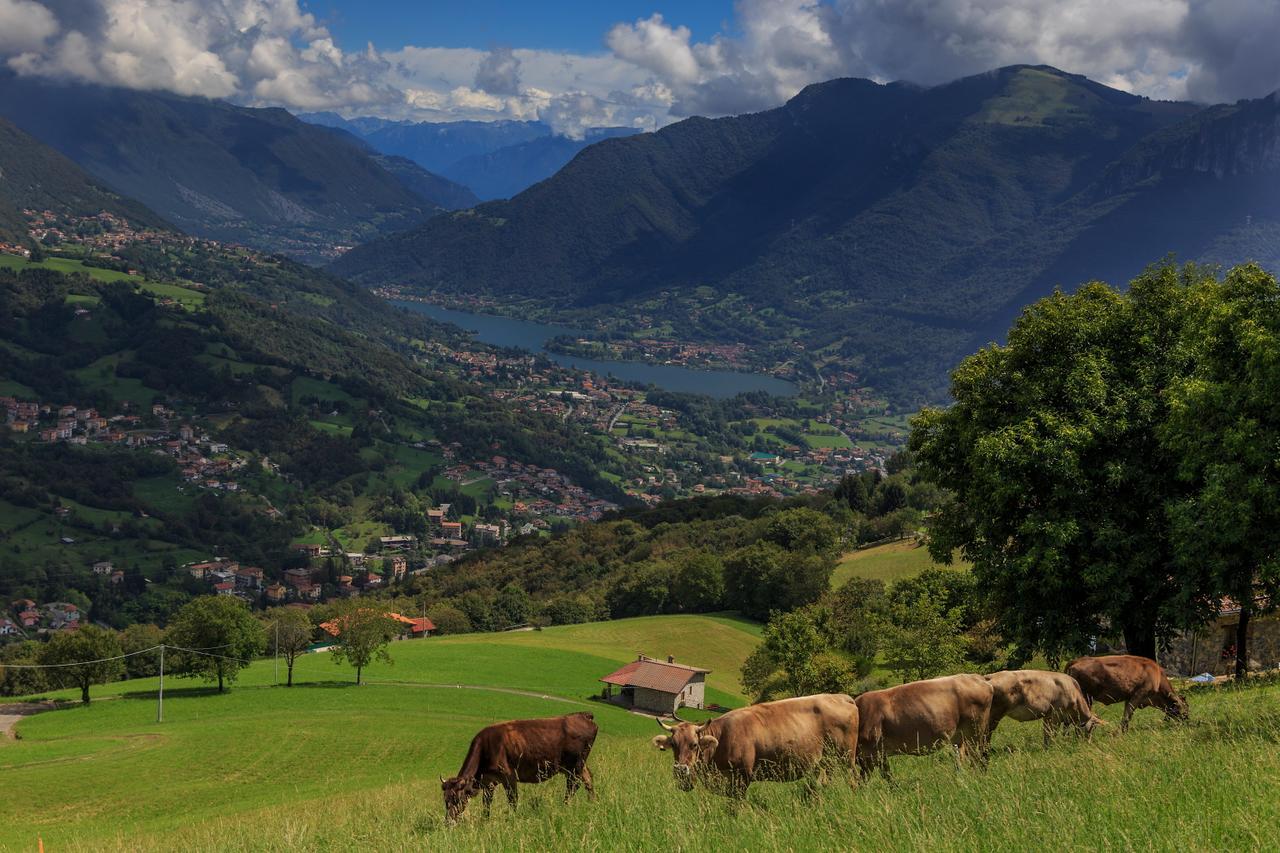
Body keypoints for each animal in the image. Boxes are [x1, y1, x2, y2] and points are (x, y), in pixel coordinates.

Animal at [440, 712, 599, 824]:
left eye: (457, 799)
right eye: (445, 800)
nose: (449, 822)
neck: (486, 749)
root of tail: (583, 715)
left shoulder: (509, 777)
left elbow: (513, 800)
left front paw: (512, 819)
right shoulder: (489, 782)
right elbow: (486, 803)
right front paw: (484, 820)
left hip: (574, 766)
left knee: (573, 785)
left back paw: (565, 805)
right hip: (578, 765)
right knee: (588, 780)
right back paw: (593, 803)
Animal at [650, 691, 860, 799]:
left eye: (694, 745)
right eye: (674, 745)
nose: (680, 770)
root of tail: (842, 697)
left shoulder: (742, 777)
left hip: (846, 758)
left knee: (852, 779)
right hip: (823, 763)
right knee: (821, 783)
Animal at [855, 671, 993, 778]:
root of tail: (977, 677)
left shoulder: (870, 753)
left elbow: (866, 778)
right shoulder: (879, 753)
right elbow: (887, 775)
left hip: (975, 732)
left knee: (978, 757)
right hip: (961, 736)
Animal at [1059, 650, 1187, 732]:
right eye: (1185, 708)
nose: (1187, 719)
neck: (1158, 677)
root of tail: (1076, 661)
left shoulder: (1128, 699)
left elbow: (1126, 715)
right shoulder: (1137, 696)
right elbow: (1127, 717)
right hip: (1085, 698)